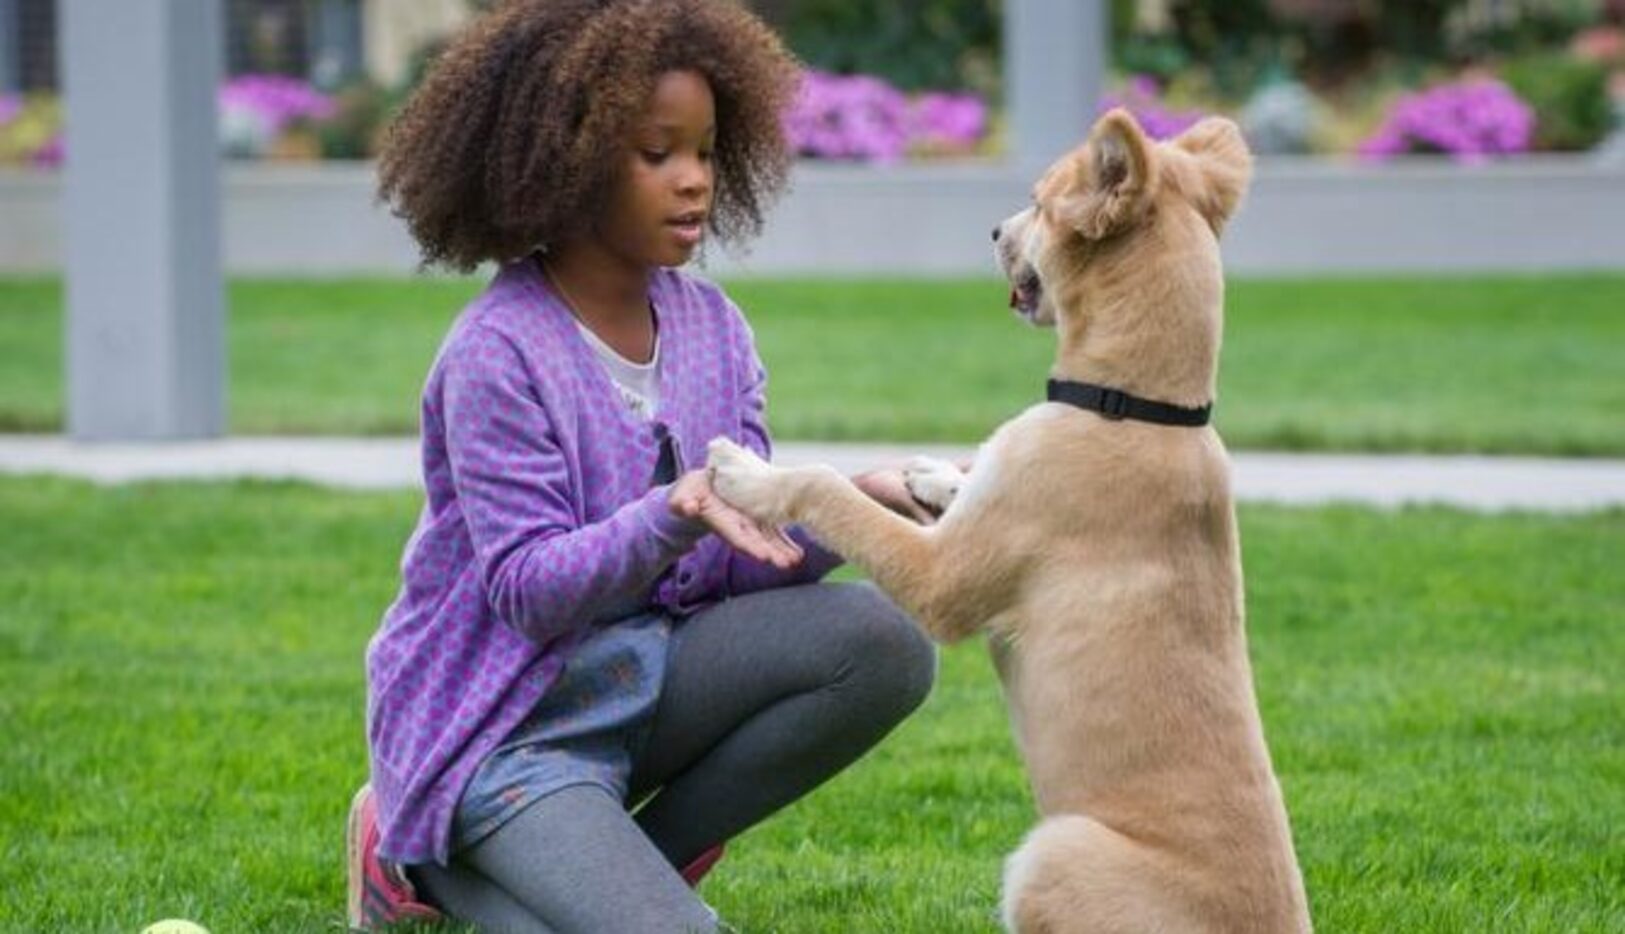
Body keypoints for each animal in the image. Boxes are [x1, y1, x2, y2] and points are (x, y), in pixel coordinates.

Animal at [708, 111, 1306, 934]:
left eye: (1039, 204)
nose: (993, 229)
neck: (1134, 407)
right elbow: (951, 491)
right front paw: (932, 476)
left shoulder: (942, 581)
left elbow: (828, 488)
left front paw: (750, 475)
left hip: (1050, 855)